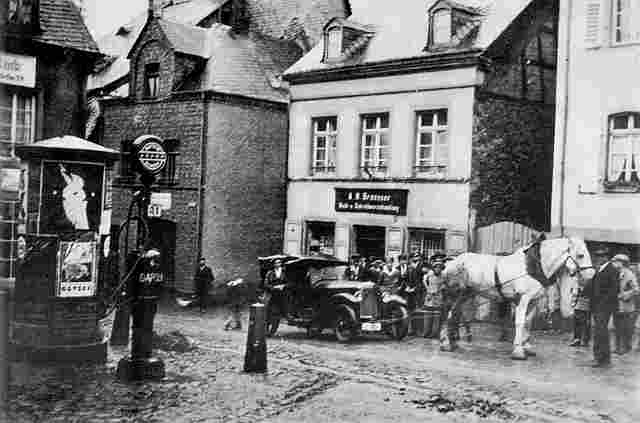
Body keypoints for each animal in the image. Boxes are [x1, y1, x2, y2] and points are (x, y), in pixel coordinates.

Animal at [440, 237, 596, 360]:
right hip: (455, 294)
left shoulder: (534, 301)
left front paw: (527, 347)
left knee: (454, 315)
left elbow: (528, 322)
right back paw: (446, 343)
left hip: (465, 295)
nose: (591, 275)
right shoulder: (523, 299)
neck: (532, 267)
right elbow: (520, 322)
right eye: (581, 255)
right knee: (449, 314)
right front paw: (518, 351)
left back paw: (452, 343)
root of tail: (451, 262)